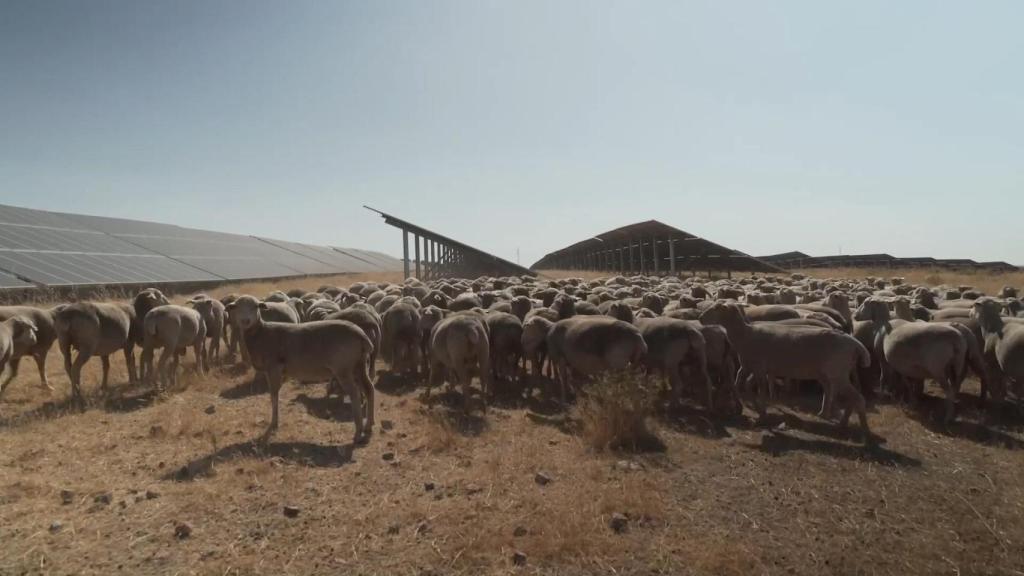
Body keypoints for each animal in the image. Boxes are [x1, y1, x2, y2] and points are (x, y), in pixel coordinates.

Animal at [226, 295, 374, 438]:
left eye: (256, 306)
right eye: (237, 307)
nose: (245, 320)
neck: (261, 333)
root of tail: (361, 335)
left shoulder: (273, 368)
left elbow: (274, 395)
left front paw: (274, 423)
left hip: (343, 369)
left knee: (355, 393)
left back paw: (358, 431)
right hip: (359, 366)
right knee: (369, 389)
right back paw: (369, 426)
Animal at [700, 301, 876, 438]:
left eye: (717, 308)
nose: (701, 318)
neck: (745, 335)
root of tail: (854, 344)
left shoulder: (759, 368)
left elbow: (759, 389)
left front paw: (762, 414)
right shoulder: (751, 367)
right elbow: (743, 385)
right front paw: (752, 409)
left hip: (837, 373)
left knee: (858, 398)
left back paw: (864, 431)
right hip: (832, 374)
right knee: (842, 395)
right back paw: (833, 418)